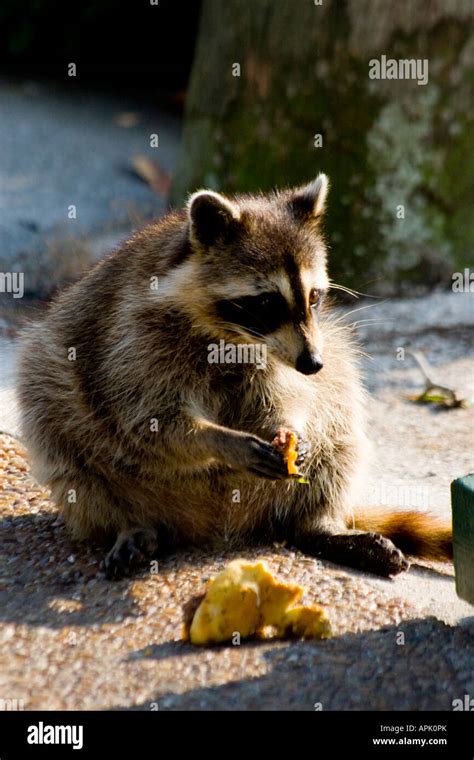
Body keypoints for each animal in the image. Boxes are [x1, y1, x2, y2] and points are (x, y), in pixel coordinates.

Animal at [17, 175, 452, 580]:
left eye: (314, 296)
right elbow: (147, 422)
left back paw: (319, 524)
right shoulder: (132, 341)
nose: (313, 363)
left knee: (340, 422)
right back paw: (129, 524)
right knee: (65, 444)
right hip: (54, 389)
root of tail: (215, 524)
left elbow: (290, 396)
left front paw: (291, 424)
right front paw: (220, 440)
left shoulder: (285, 354)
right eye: (266, 302)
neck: (230, 339)